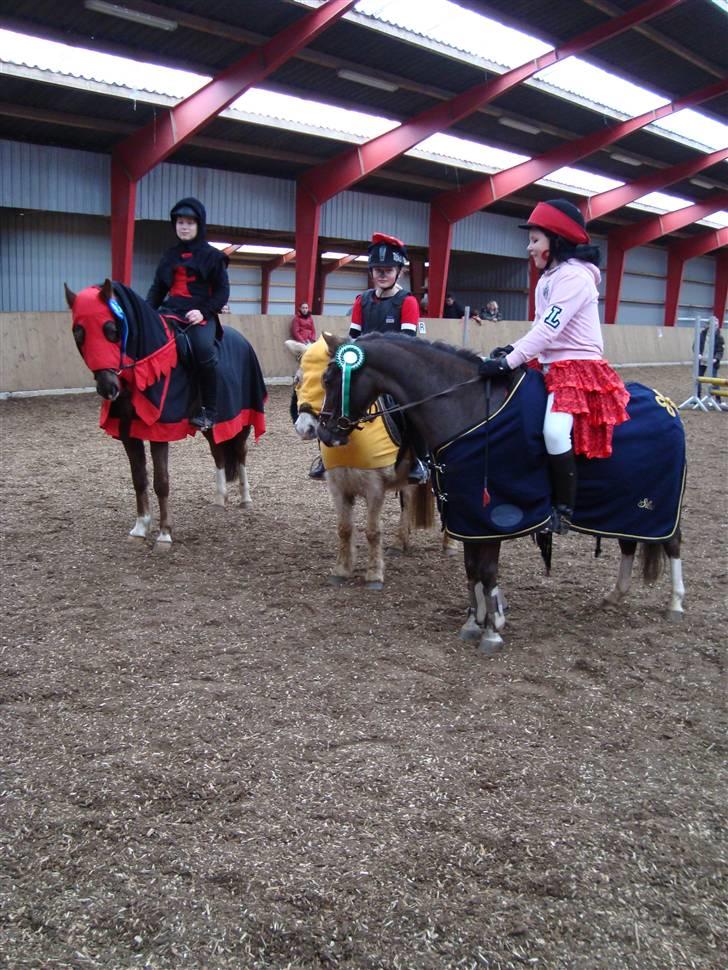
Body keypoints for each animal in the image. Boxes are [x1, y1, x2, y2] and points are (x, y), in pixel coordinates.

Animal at [65, 280, 268, 548]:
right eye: (78, 333)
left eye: (112, 329)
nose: (108, 388)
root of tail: (242, 340)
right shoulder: (128, 433)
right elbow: (139, 478)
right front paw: (140, 528)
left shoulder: (159, 432)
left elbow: (161, 481)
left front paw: (164, 534)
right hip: (212, 425)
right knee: (218, 455)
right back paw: (219, 500)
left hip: (242, 418)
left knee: (241, 453)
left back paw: (245, 499)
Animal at [292, 332, 436, 588]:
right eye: (298, 380)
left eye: (324, 381)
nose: (305, 428)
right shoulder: (337, 486)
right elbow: (344, 528)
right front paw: (341, 570)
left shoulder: (374, 487)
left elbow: (372, 531)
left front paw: (374, 575)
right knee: (407, 503)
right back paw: (399, 543)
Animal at [316, 328, 684, 656]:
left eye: (331, 379)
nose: (325, 433)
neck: (466, 408)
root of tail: (666, 404)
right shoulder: (466, 515)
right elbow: (472, 569)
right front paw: (474, 622)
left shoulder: (491, 516)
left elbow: (488, 571)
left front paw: (492, 632)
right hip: (627, 507)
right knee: (628, 544)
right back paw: (615, 595)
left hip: (655, 504)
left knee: (672, 544)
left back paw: (675, 604)